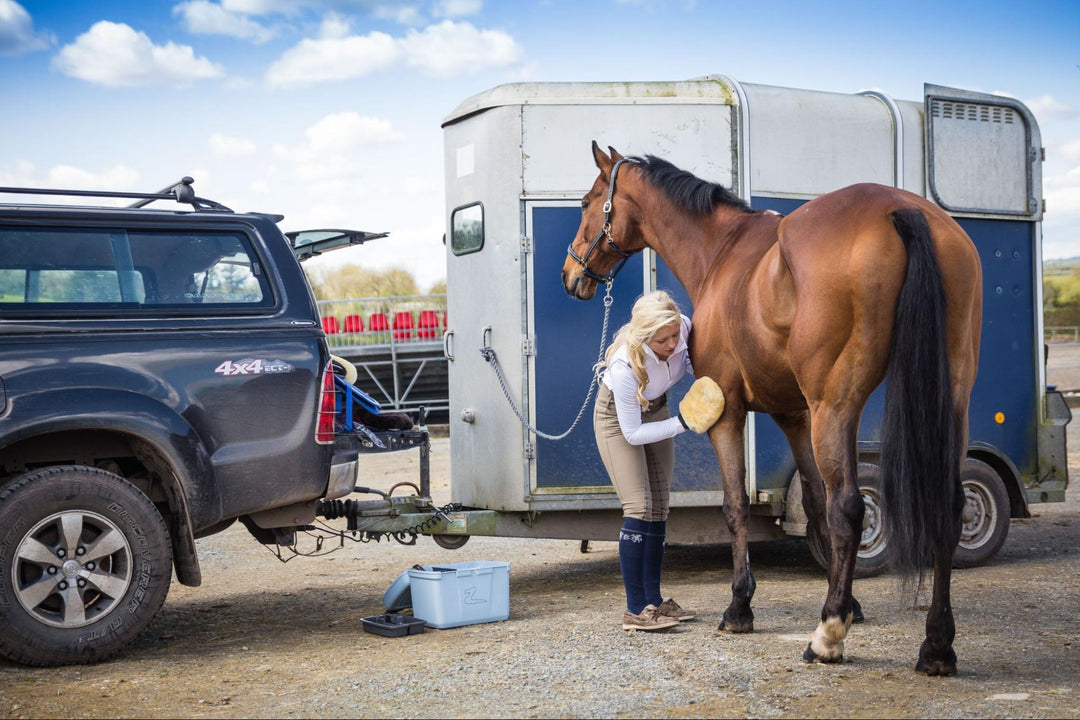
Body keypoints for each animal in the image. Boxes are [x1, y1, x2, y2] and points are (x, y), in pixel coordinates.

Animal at [562, 142, 982, 675]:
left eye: (585, 202)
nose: (571, 274)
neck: (722, 252)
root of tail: (899, 210)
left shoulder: (729, 412)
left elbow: (737, 506)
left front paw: (741, 606)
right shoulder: (794, 416)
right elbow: (815, 504)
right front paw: (851, 603)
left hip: (836, 405)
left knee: (852, 507)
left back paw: (827, 637)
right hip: (949, 402)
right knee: (945, 506)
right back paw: (936, 646)